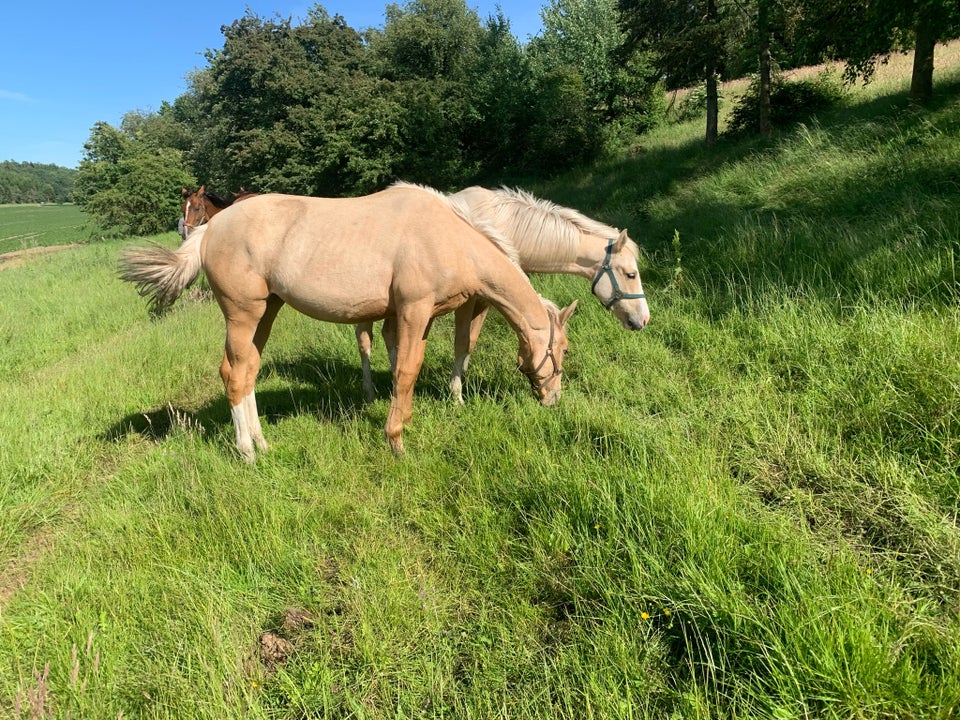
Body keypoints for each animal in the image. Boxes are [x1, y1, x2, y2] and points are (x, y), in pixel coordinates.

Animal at [116, 183, 572, 458]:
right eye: (563, 350)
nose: (554, 399)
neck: (448, 238)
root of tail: (208, 230)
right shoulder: (413, 309)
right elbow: (406, 369)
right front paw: (396, 440)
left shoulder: (419, 317)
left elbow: (408, 367)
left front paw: (405, 421)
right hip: (243, 314)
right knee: (234, 374)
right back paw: (247, 452)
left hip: (267, 312)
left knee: (245, 371)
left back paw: (263, 443)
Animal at [354, 183, 652, 402]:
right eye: (631, 274)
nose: (643, 319)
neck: (502, 225)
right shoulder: (470, 299)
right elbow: (461, 341)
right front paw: (456, 395)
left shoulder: (488, 299)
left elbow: (470, 343)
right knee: (365, 339)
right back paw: (370, 392)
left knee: (388, 335)